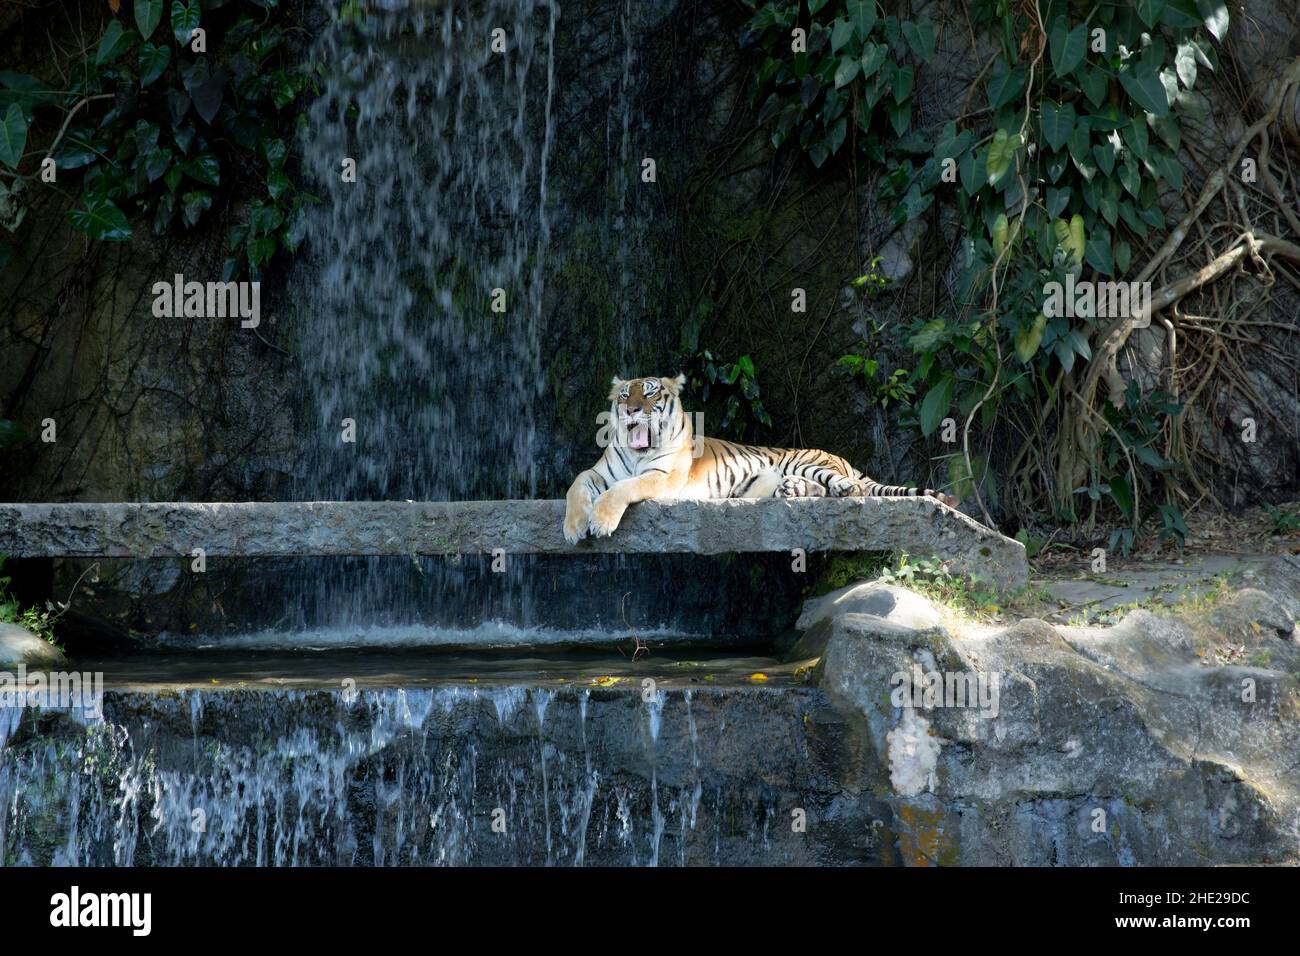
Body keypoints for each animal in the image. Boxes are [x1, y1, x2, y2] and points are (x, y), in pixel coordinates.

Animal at [562, 373, 960, 544]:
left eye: (649, 395)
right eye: (624, 395)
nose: (631, 411)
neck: (636, 451)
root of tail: (842, 459)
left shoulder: (662, 476)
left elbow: (623, 489)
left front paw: (600, 523)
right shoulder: (597, 473)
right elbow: (576, 486)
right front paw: (573, 528)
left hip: (805, 461)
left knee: (849, 488)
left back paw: (840, 489)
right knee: (819, 490)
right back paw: (792, 491)